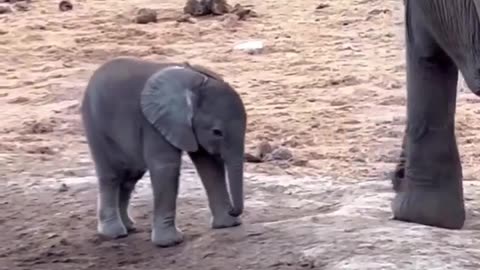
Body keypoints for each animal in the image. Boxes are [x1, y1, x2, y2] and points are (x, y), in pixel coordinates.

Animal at [80, 57, 248, 247]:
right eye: (217, 132)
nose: (234, 211)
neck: (194, 81)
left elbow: (208, 164)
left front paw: (227, 225)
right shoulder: (152, 122)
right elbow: (166, 167)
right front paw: (170, 242)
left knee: (130, 177)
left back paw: (129, 227)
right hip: (95, 125)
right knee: (112, 176)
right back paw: (114, 233)